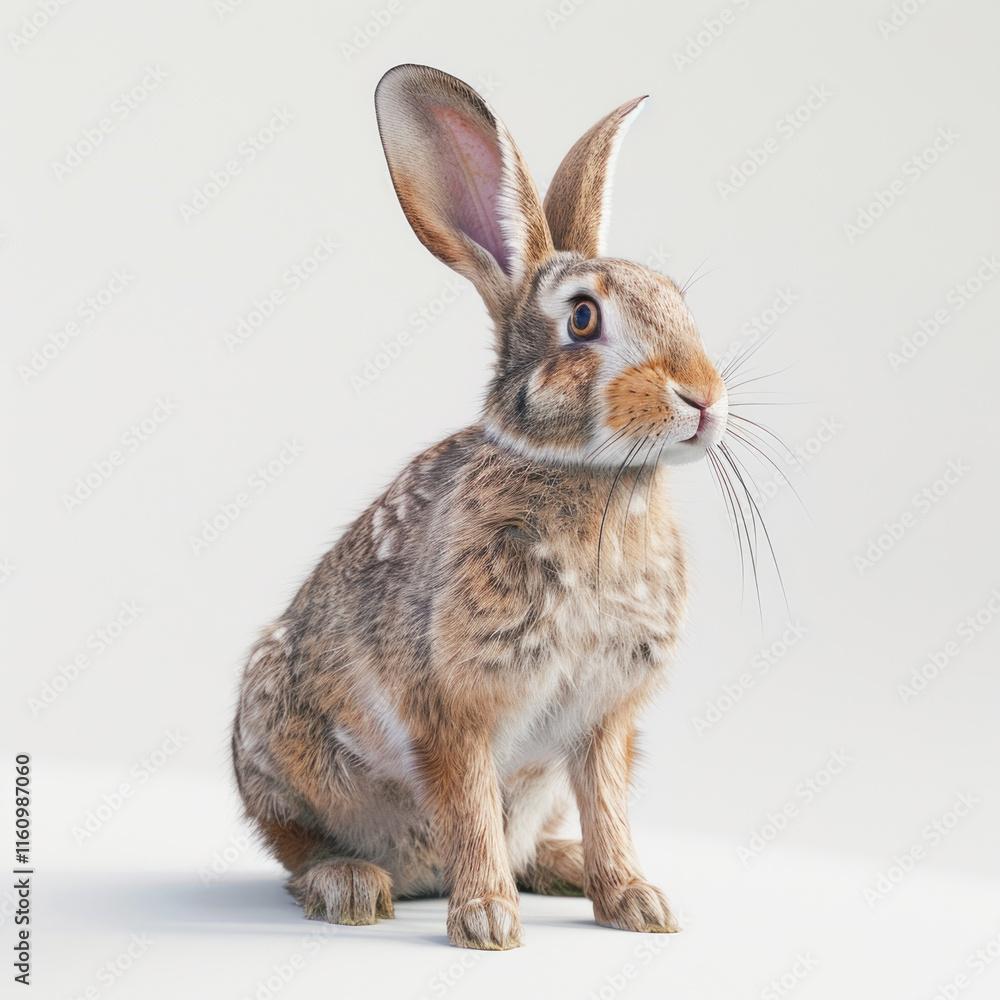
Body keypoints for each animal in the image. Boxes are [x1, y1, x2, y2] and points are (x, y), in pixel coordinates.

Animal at [231, 63, 728, 951]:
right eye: (583, 317)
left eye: (677, 297)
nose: (704, 397)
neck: (593, 480)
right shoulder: (454, 706)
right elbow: (467, 801)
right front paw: (488, 922)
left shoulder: (605, 717)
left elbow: (609, 806)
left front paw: (637, 903)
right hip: (280, 755)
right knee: (297, 847)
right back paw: (354, 885)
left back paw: (560, 867)